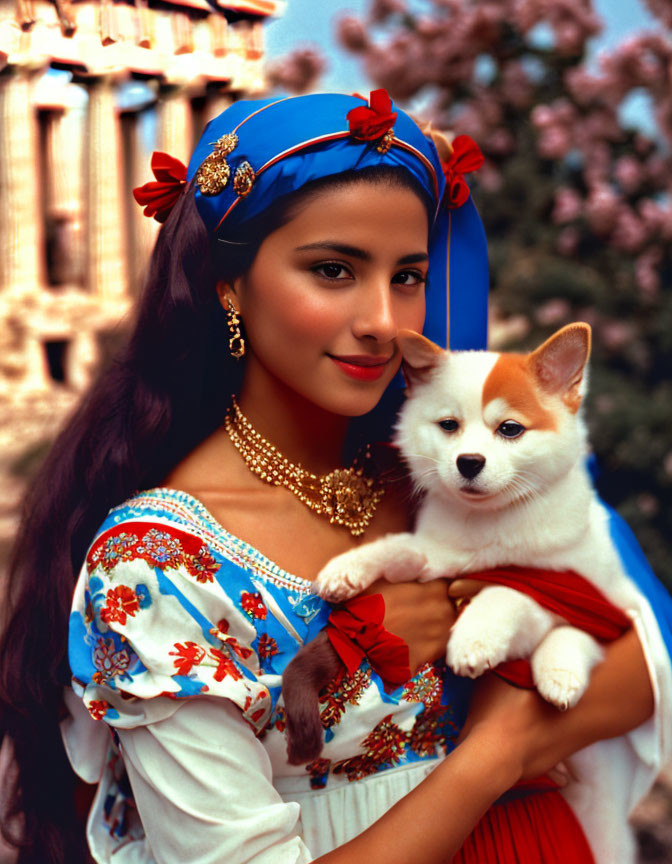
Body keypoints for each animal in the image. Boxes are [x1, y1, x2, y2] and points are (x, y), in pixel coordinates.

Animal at [318, 324, 648, 864]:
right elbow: (396, 548)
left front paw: (476, 640)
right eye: (449, 426)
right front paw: (348, 568)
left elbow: (506, 594)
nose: (468, 461)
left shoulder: (583, 599)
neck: (492, 527)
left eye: (509, 429)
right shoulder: (437, 555)